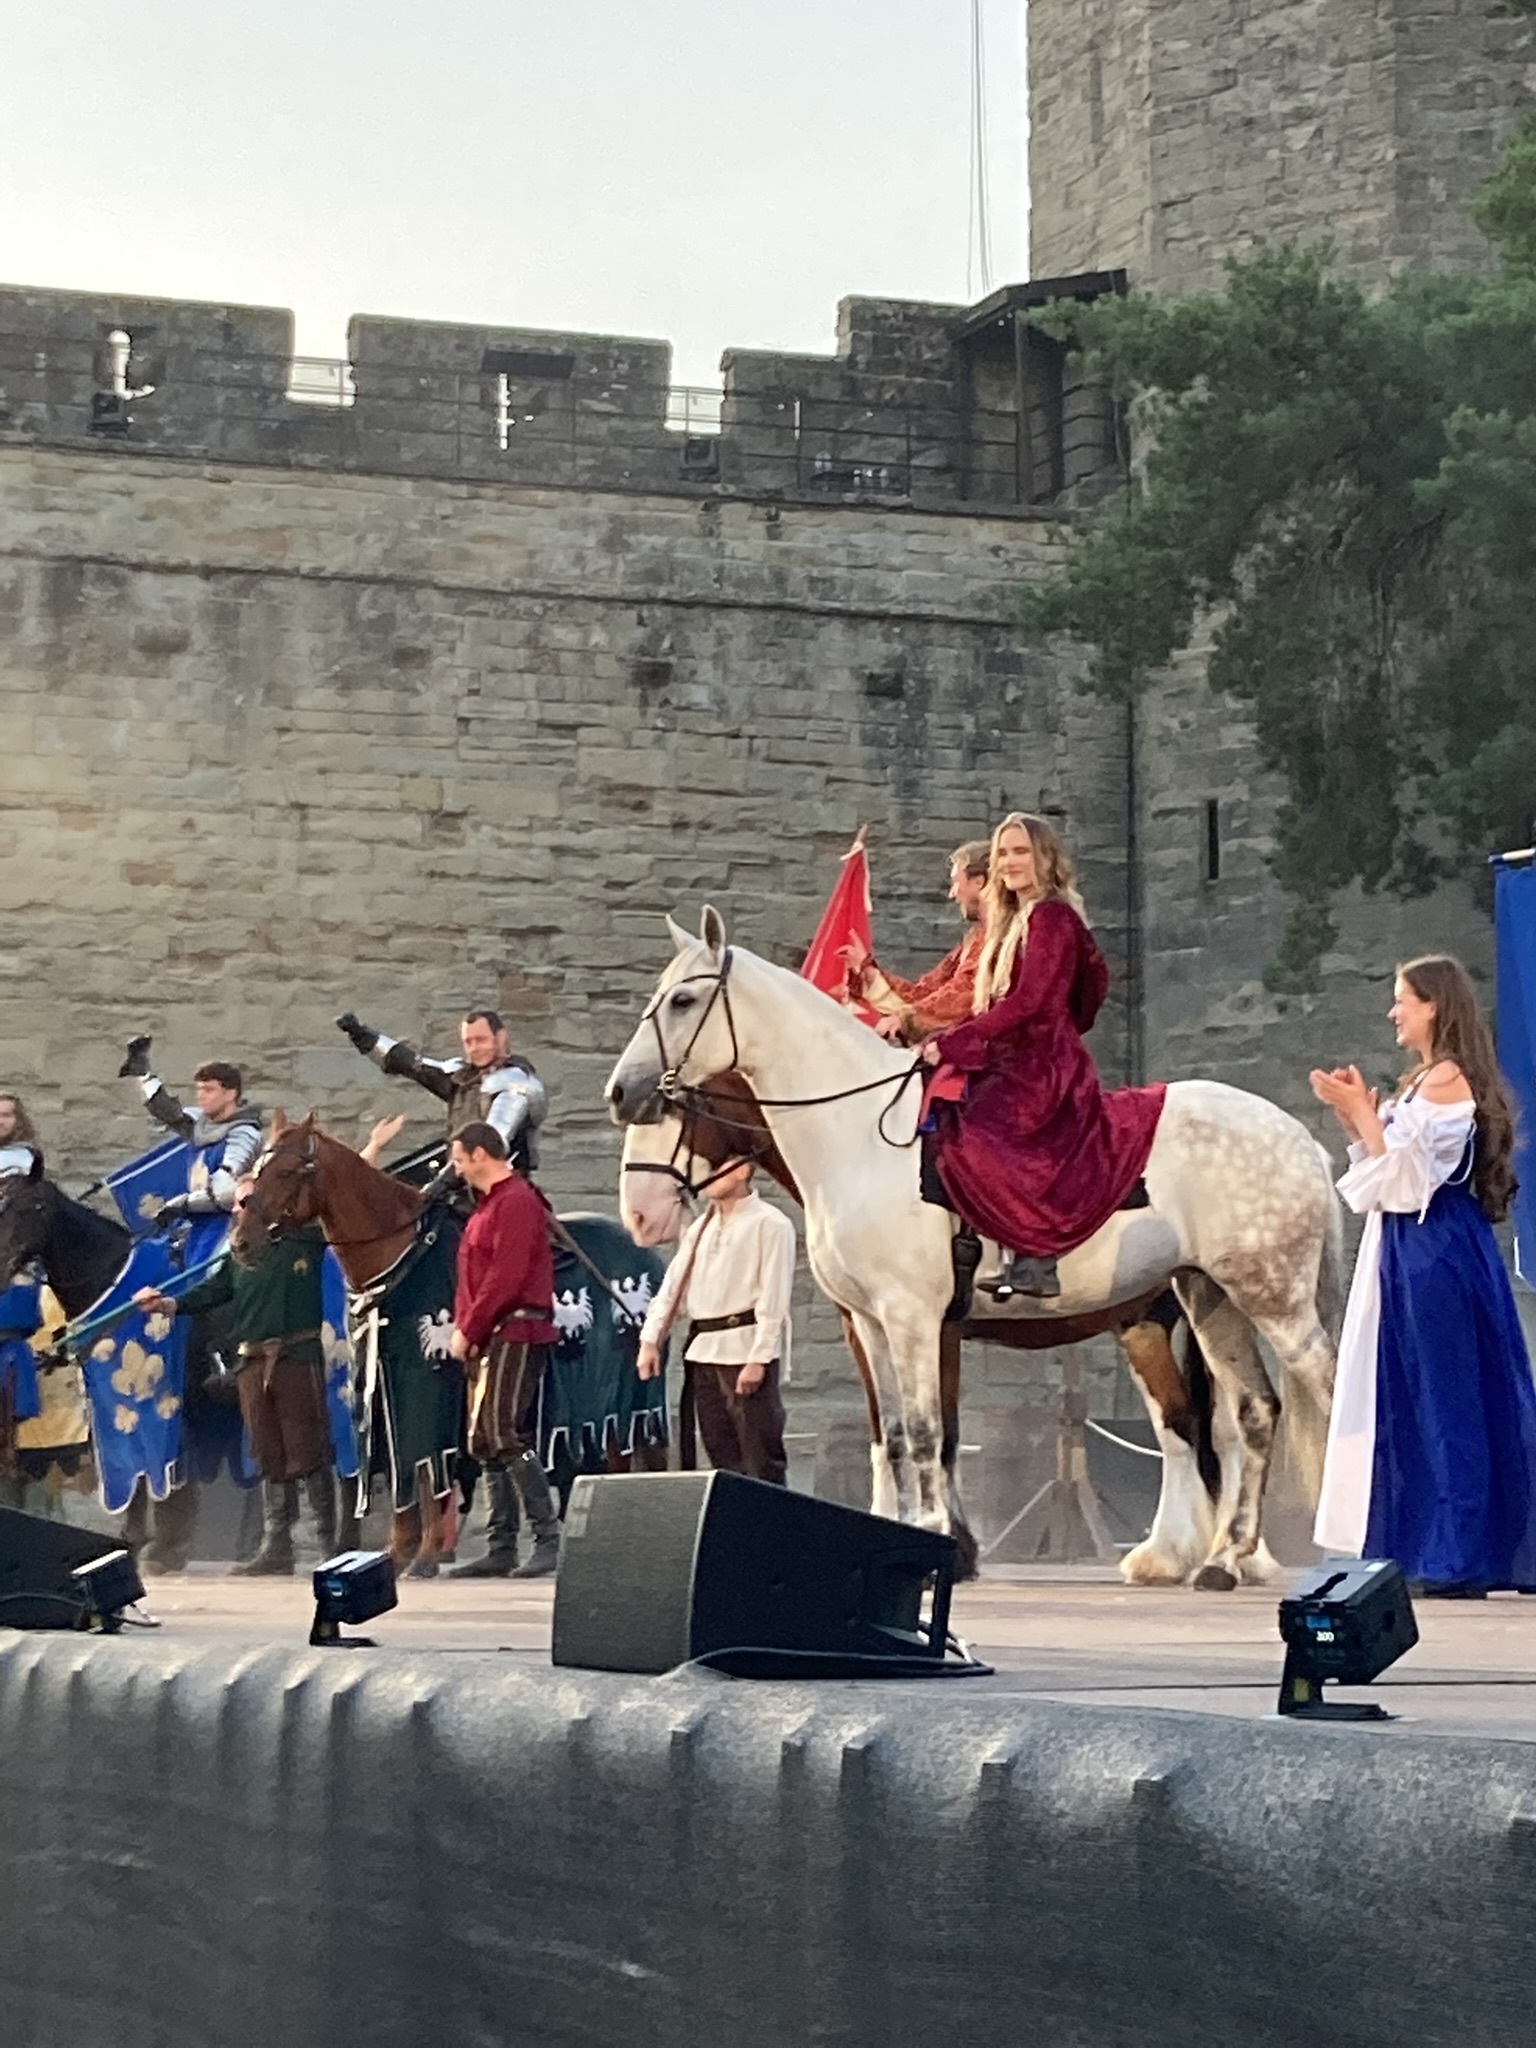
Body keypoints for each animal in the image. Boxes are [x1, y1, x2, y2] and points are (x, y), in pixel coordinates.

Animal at [606, 913, 1343, 1581]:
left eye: (682, 1000)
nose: (621, 1094)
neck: (862, 1135)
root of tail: (1297, 1136)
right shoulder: (870, 1323)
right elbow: (893, 1436)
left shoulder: (918, 1320)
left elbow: (932, 1432)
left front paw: (942, 1539)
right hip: (1209, 1297)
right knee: (1248, 1414)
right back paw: (1222, 1556)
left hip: (1272, 1302)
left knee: (1320, 1397)